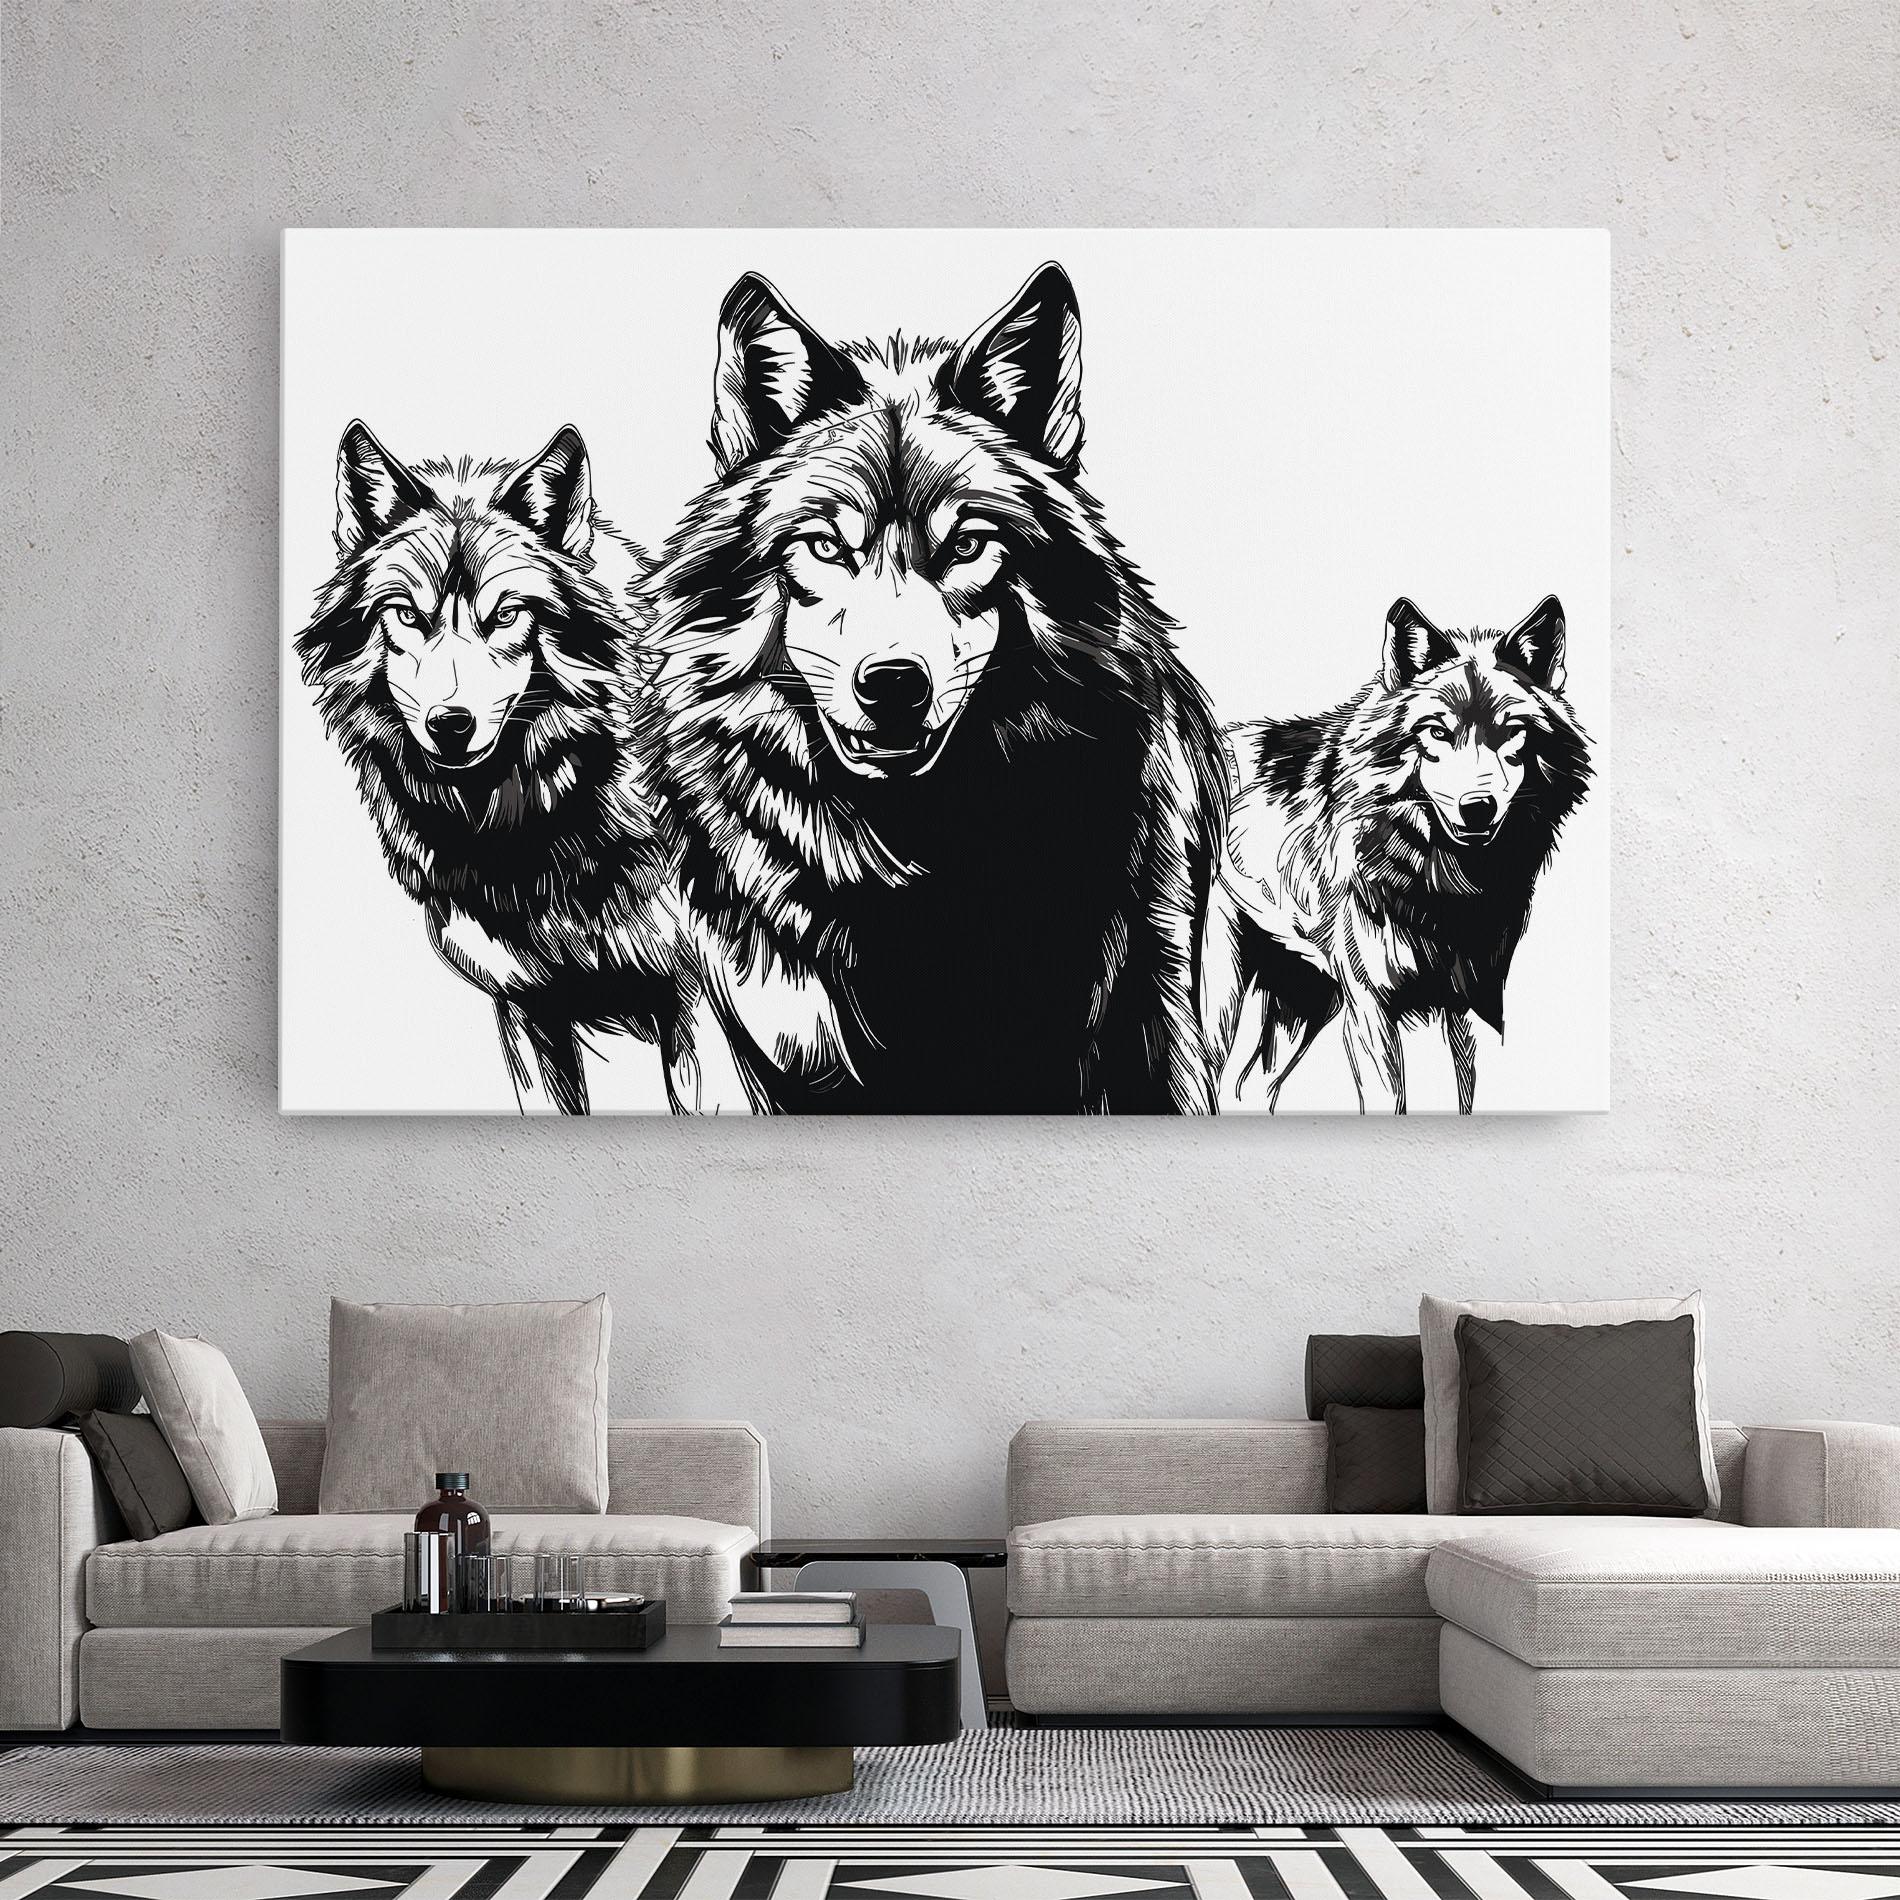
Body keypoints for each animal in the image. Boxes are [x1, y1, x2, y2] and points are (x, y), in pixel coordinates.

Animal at [1208, 596, 1592, 1113]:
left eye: (1511, 731)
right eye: (1436, 732)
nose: (1478, 807)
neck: (1446, 886)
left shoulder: (1472, 1008)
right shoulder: (1371, 1010)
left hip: (1306, 1000)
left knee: (1247, 1085)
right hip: (1221, 996)